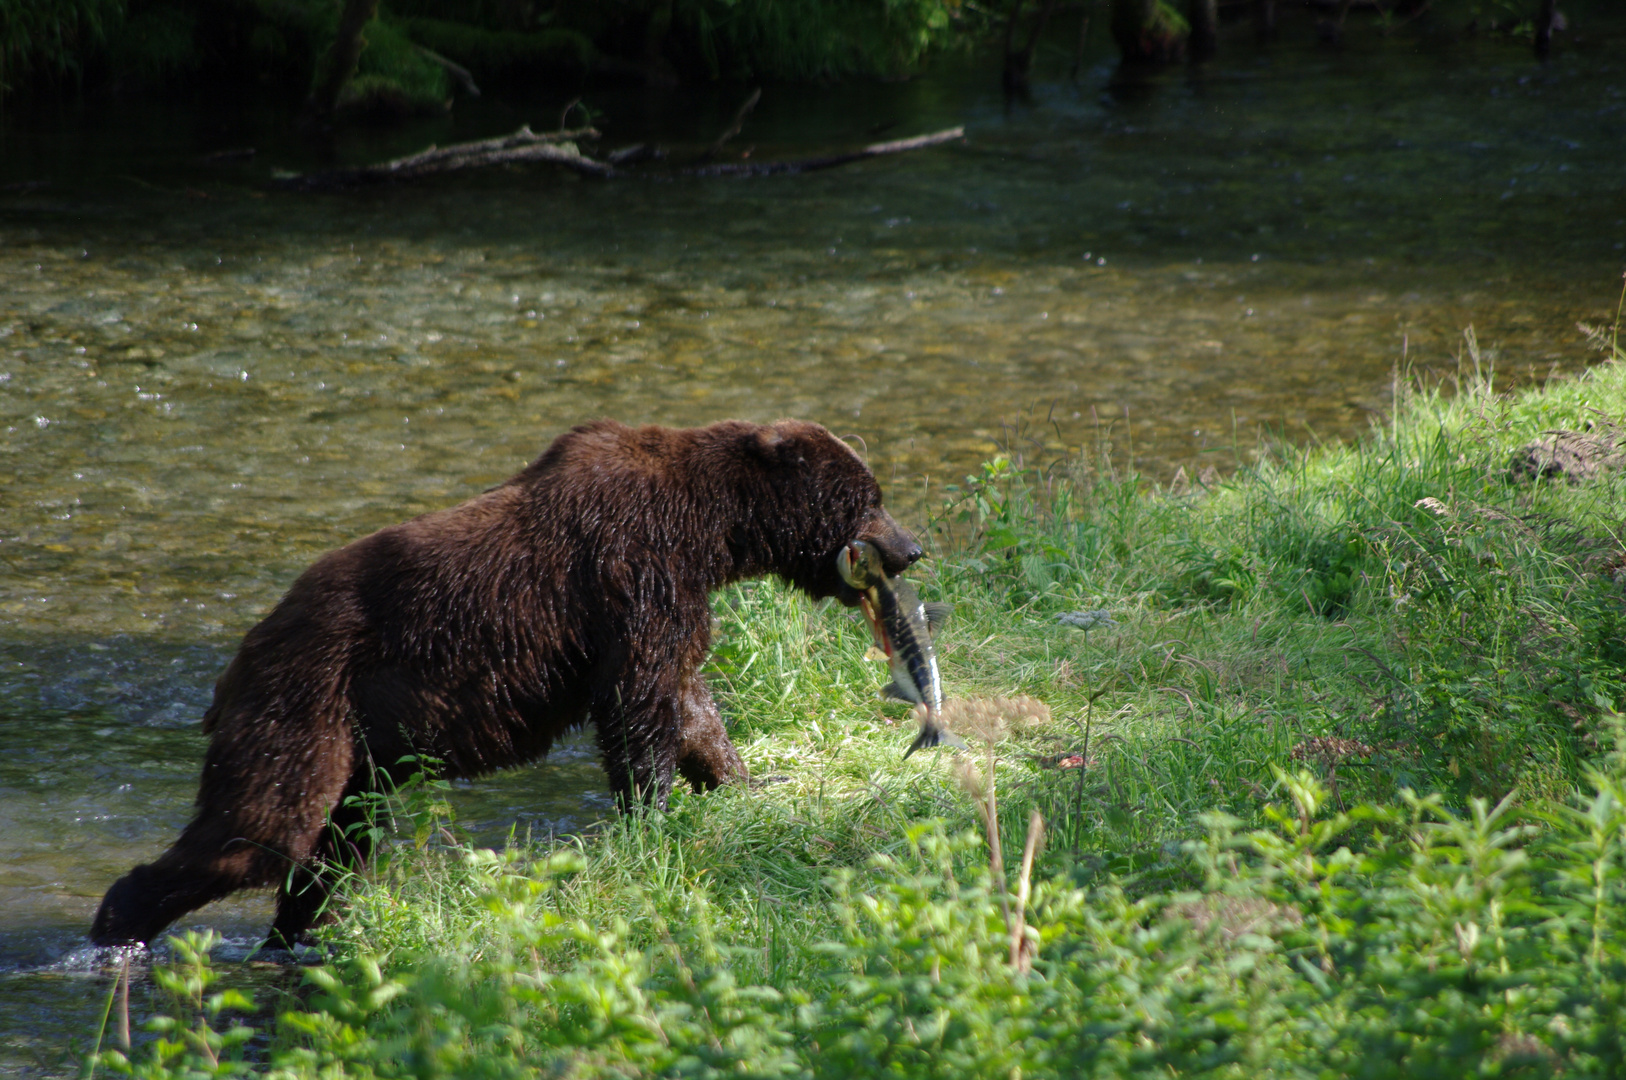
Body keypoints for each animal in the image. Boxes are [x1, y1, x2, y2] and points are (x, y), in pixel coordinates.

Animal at [89, 419, 923, 943]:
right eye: (869, 495)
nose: (912, 547)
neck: (715, 531)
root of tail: (242, 652)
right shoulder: (633, 573)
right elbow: (640, 707)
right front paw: (653, 815)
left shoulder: (664, 595)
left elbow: (688, 703)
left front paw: (744, 780)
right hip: (305, 703)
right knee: (262, 831)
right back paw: (119, 924)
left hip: (358, 748)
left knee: (334, 847)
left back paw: (299, 934)